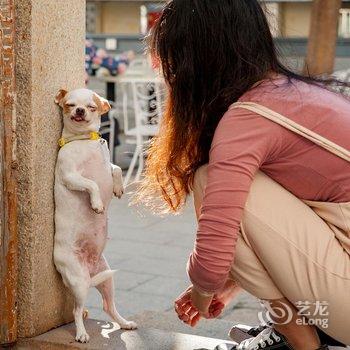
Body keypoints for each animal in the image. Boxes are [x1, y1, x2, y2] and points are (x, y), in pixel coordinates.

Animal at [54, 89, 137, 344]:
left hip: (106, 277)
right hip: (79, 282)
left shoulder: (109, 165)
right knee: (76, 310)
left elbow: (116, 169)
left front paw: (119, 188)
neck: (85, 141)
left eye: (91, 107)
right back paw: (81, 333)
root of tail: (89, 270)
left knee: (108, 306)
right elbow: (92, 184)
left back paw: (124, 323)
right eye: (70, 105)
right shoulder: (70, 175)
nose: (80, 111)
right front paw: (98, 204)